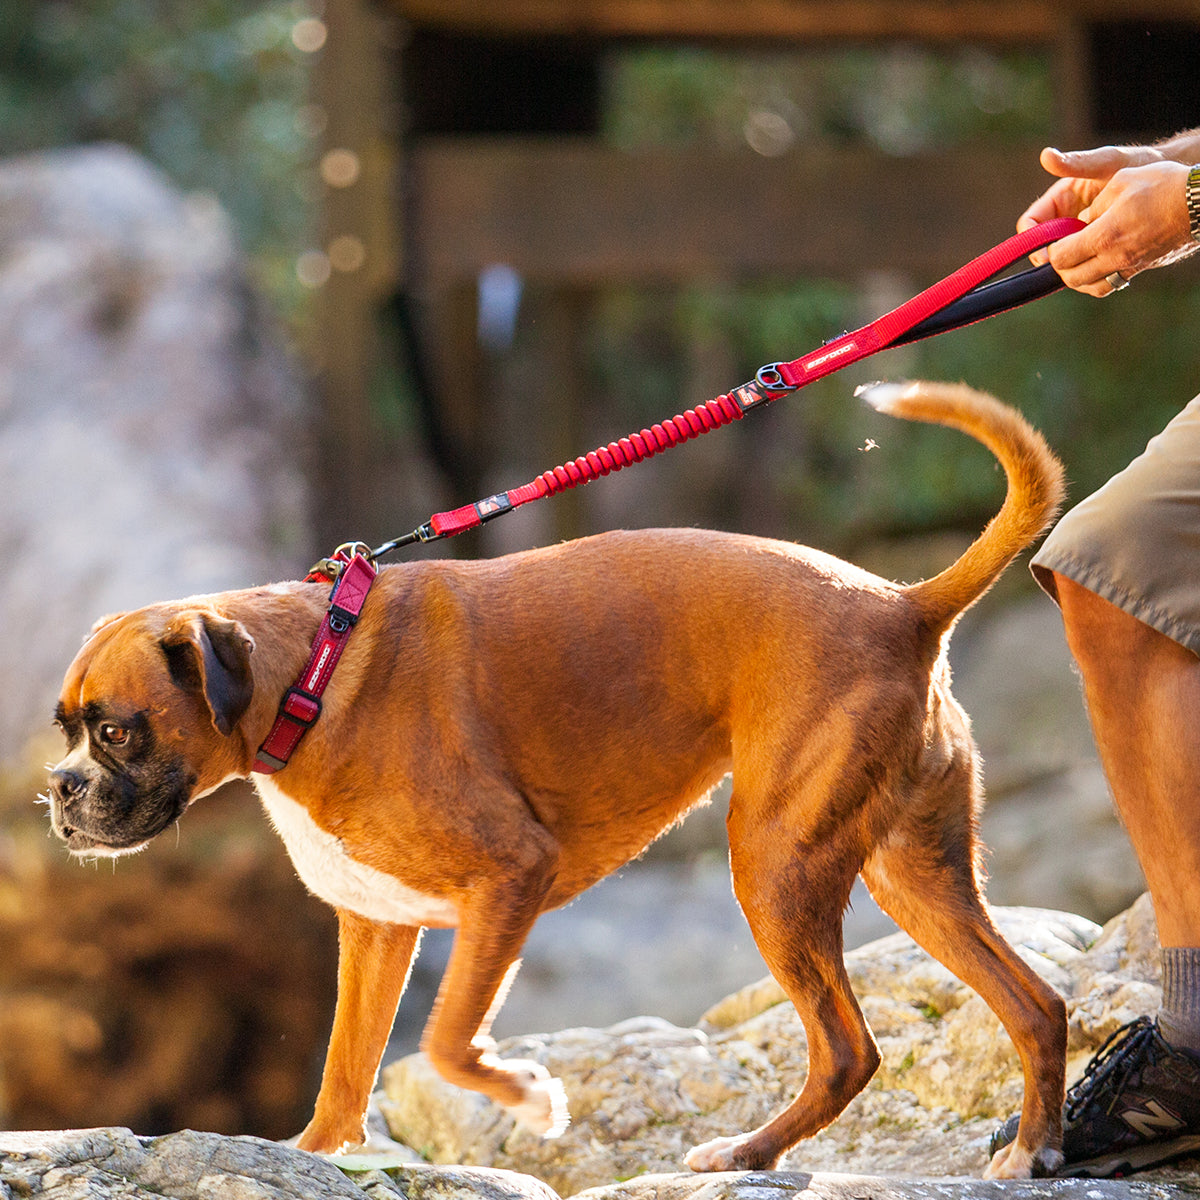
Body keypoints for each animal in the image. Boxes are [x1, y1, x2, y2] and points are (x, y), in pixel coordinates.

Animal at [46, 384, 1070, 1180]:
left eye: (117, 731)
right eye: (64, 732)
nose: (57, 792)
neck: (316, 670)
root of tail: (904, 605)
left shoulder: (509, 878)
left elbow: (447, 1038)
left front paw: (529, 1099)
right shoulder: (376, 929)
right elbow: (347, 1063)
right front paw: (315, 1153)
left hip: (775, 865)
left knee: (848, 1049)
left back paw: (749, 1153)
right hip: (913, 872)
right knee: (1034, 1003)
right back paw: (1031, 1148)